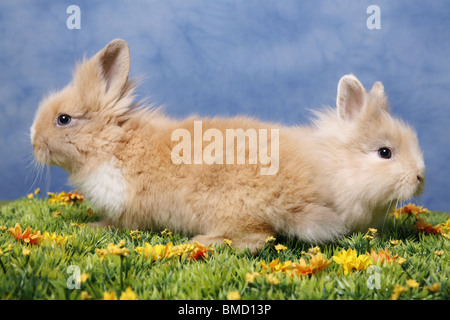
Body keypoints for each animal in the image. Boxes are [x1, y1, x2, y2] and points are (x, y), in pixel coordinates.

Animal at [29, 39, 424, 252]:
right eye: (385, 152)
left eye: (63, 119)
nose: (32, 140)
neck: (114, 143)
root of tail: (295, 199)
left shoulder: (128, 207)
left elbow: (119, 224)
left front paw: (94, 228)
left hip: (232, 210)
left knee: (257, 238)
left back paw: (203, 242)